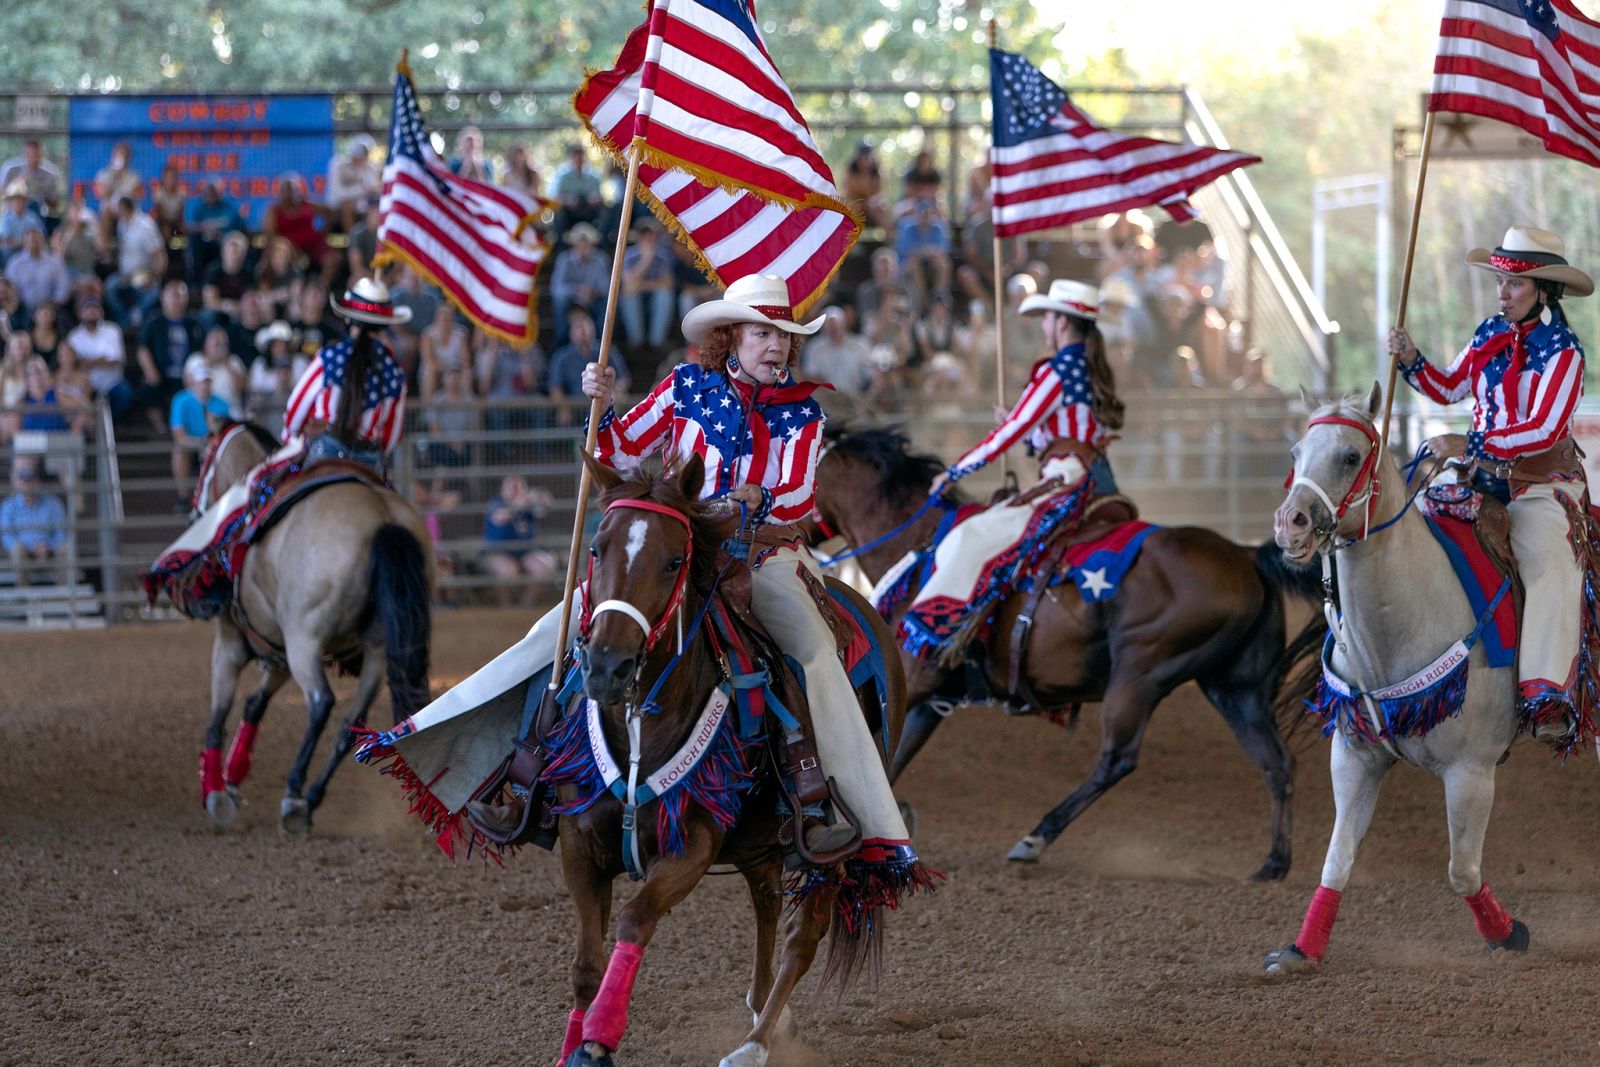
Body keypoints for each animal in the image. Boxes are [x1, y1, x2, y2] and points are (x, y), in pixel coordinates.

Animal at [180, 425, 435, 831]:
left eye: (204, 459)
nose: (193, 511)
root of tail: (383, 520)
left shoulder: (233, 643)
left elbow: (219, 714)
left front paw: (216, 792)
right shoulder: (278, 650)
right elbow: (255, 704)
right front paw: (233, 779)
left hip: (306, 641)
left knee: (321, 703)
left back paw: (293, 793)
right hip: (377, 652)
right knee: (351, 722)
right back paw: (310, 799)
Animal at [556, 457, 921, 1067]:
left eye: (674, 561)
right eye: (597, 549)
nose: (607, 666)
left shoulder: (691, 846)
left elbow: (635, 918)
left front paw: (599, 1038)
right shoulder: (580, 843)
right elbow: (585, 965)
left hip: (831, 839)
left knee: (804, 934)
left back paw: (755, 1044)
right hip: (760, 838)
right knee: (768, 901)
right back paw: (762, 1010)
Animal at [812, 428, 1324, 883]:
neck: (918, 547)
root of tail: (1246, 557)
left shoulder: (913, 675)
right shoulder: (932, 698)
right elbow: (888, 758)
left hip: (1139, 675)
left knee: (1117, 759)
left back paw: (1034, 839)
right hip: (1236, 689)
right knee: (1276, 763)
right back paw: (1273, 864)